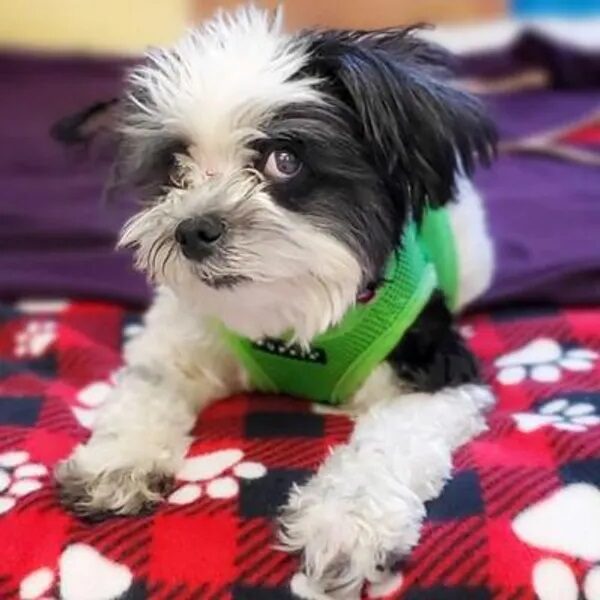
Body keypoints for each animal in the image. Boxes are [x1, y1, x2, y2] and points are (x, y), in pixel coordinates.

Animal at [54, 5, 496, 596]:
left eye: (284, 159)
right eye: (174, 169)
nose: (192, 229)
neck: (291, 321)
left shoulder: (435, 369)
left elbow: (390, 439)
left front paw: (346, 522)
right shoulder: (184, 338)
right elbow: (146, 387)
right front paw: (119, 459)